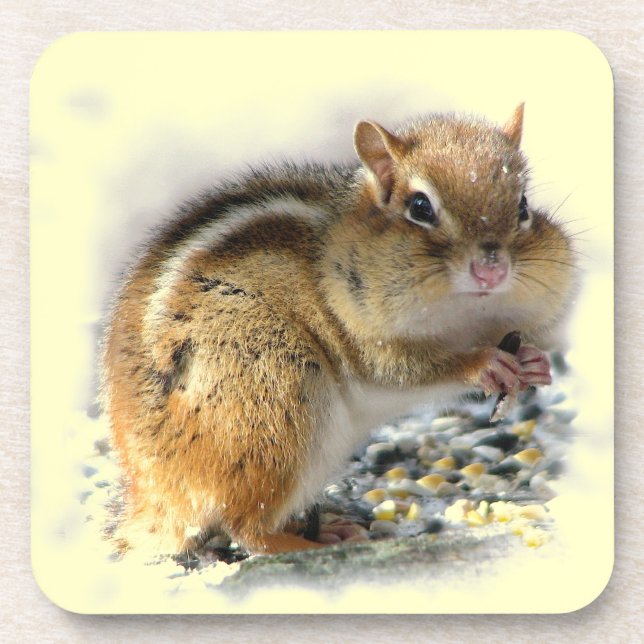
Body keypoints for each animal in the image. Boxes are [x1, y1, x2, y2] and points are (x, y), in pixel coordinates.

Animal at [101, 104, 575, 556]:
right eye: (420, 208)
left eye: (523, 206)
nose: (491, 270)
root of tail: (156, 499)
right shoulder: (363, 335)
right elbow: (403, 371)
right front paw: (483, 363)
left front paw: (534, 363)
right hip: (272, 391)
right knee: (246, 529)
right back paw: (306, 542)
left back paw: (325, 527)